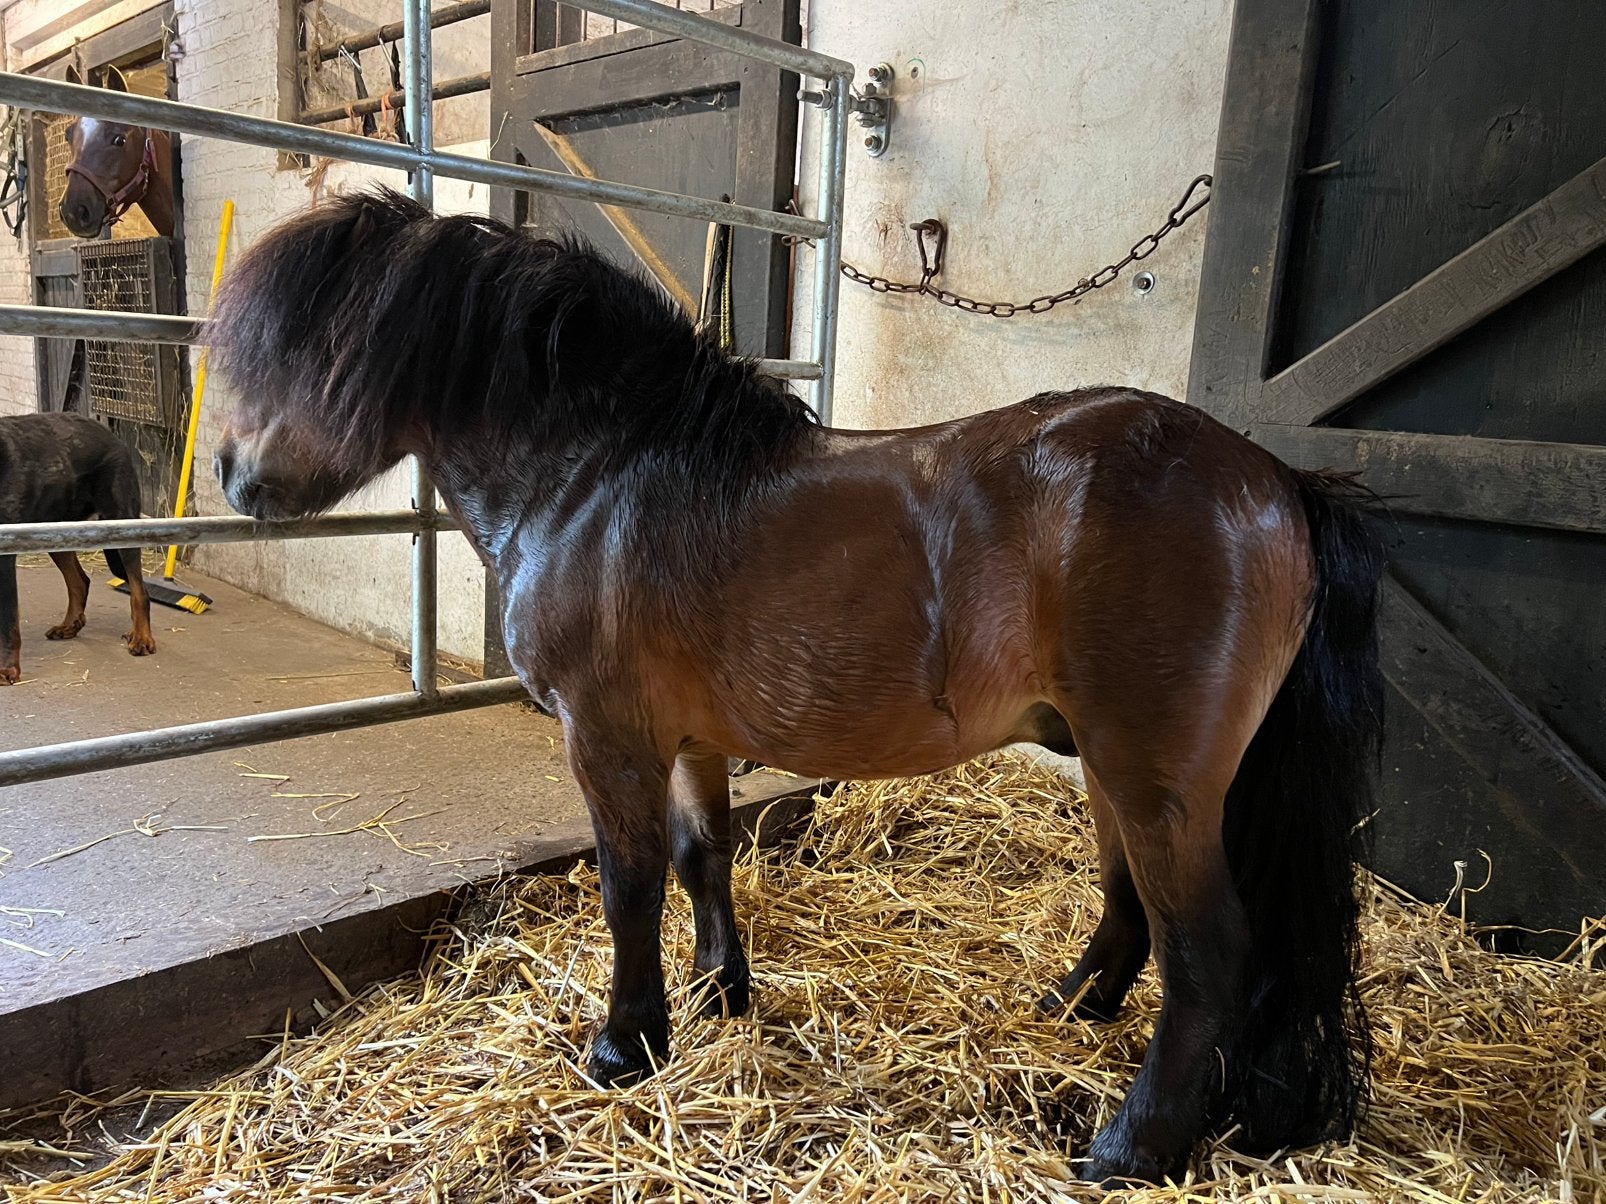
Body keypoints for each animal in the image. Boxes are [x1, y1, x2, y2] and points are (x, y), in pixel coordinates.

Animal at [208, 188, 1385, 1185]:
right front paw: (722, 994)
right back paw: (1065, 1017)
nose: (230, 472)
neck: (604, 476)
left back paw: (1132, 1146)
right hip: (1115, 772)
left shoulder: (608, 737)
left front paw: (625, 1044)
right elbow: (702, 858)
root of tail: (1275, 482)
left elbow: (629, 882)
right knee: (1130, 913)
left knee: (1208, 953)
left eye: (317, 349)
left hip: (1157, 782)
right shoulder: (690, 741)